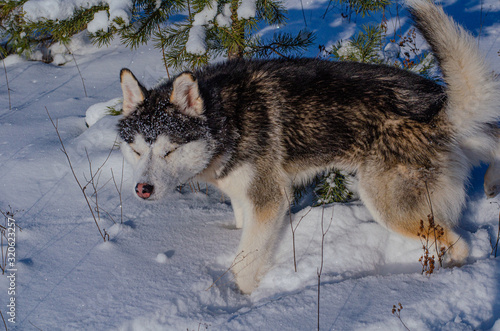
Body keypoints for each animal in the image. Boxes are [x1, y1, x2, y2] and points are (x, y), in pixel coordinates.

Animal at [118, 0, 500, 294]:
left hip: (390, 206)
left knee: (461, 241)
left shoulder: (270, 200)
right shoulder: (244, 197)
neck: (226, 119)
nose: (143, 189)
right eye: (136, 150)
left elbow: (245, 261)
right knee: (490, 138)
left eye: (169, 151)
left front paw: (242, 300)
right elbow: (242, 229)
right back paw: (491, 183)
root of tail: (438, 108)